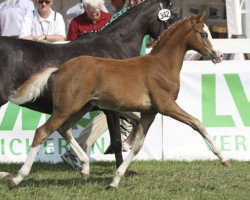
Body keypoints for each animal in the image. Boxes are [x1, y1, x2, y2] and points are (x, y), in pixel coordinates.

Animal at [9, 11, 229, 188]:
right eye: (204, 34)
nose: (218, 55)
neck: (161, 65)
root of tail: (60, 68)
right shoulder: (166, 106)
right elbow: (197, 123)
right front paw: (224, 159)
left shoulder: (150, 112)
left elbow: (137, 145)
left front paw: (115, 180)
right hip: (65, 109)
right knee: (42, 132)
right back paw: (17, 178)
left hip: (80, 108)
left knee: (64, 129)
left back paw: (85, 169)